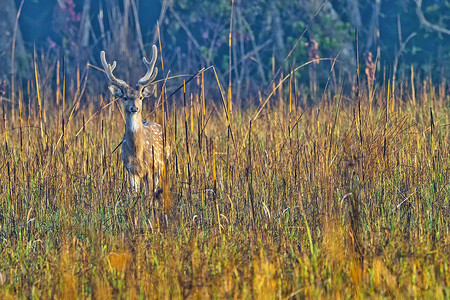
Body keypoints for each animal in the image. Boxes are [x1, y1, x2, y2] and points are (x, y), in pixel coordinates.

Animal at [100, 44, 167, 195]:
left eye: (140, 97)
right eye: (125, 98)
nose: (134, 108)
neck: (138, 152)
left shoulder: (150, 167)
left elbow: (149, 194)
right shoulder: (130, 170)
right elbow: (135, 194)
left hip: (161, 164)